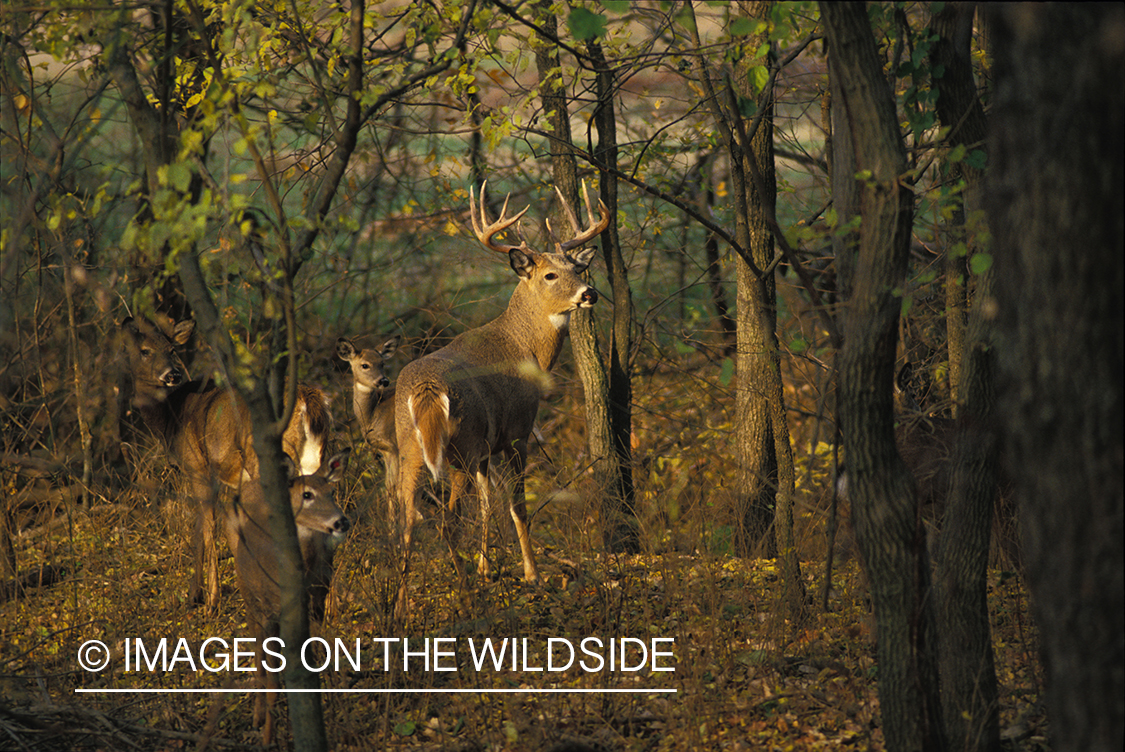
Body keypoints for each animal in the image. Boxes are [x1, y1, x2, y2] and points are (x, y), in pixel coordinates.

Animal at [118, 317, 330, 612]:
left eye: (171, 349)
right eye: (145, 351)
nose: (173, 374)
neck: (170, 418)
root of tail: (308, 399)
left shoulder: (198, 467)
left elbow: (208, 530)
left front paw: (211, 601)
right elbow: (205, 530)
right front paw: (194, 594)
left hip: (266, 459)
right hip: (314, 457)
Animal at [225, 450, 351, 742]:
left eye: (331, 491)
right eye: (307, 494)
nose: (341, 521)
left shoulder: (317, 603)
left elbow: (316, 660)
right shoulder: (270, 612)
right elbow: (272, 675)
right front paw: (268, 737)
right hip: (248, 594)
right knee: (258, 656)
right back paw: (258, 717)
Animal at [393, 180, 612, 612]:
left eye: (577, 268)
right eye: (549, 275)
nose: (590, 292)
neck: (525, 348)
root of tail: (426, 392)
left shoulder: (484, 448)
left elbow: (486, 502)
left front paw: (485, 568)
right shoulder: (516, 432)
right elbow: (517, 506)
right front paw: (532, 574)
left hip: (410, 448)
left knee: (409, 520)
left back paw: (401, 606)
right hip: (458, 446)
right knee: (447, 522)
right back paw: (465, 597)